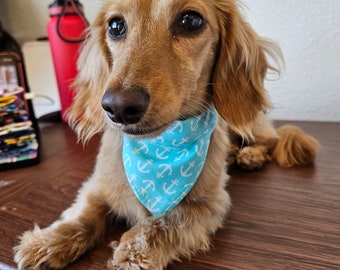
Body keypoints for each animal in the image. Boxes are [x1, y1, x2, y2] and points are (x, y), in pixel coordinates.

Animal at [14, 1, 318, 268]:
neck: (157, 150)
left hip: (250, 122)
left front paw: (135, 250)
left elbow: (168, 219)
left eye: (191, 20)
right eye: (115, 25)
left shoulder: (211, 205)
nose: (118, 107)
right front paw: (48, 242)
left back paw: (251, 154)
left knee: (271, 140)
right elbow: (83, 214)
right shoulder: (98, 185)